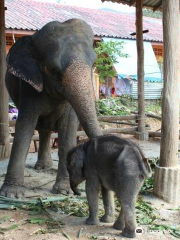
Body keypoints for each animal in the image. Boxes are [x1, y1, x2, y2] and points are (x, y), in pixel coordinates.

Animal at [0, 19, 102, 199]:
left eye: (92, 65)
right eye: (54, 70)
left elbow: (68, 130)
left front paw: (64, 191)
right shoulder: (28, 88)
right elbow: (24, 127)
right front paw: (11, 194)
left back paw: (45, 167)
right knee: (41, 128)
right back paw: (42, 167)